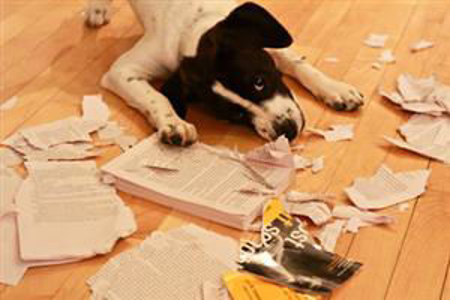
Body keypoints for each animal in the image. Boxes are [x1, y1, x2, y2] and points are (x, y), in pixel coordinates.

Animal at [86, 0, 364, 146]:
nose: (286, 130)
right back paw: (97, 8)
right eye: (235, 114)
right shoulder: (122, 71)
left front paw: (335, 89)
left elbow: (298, 62)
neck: (194, 25)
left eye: (259, 82)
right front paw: (173, 123)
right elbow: (156, 97)